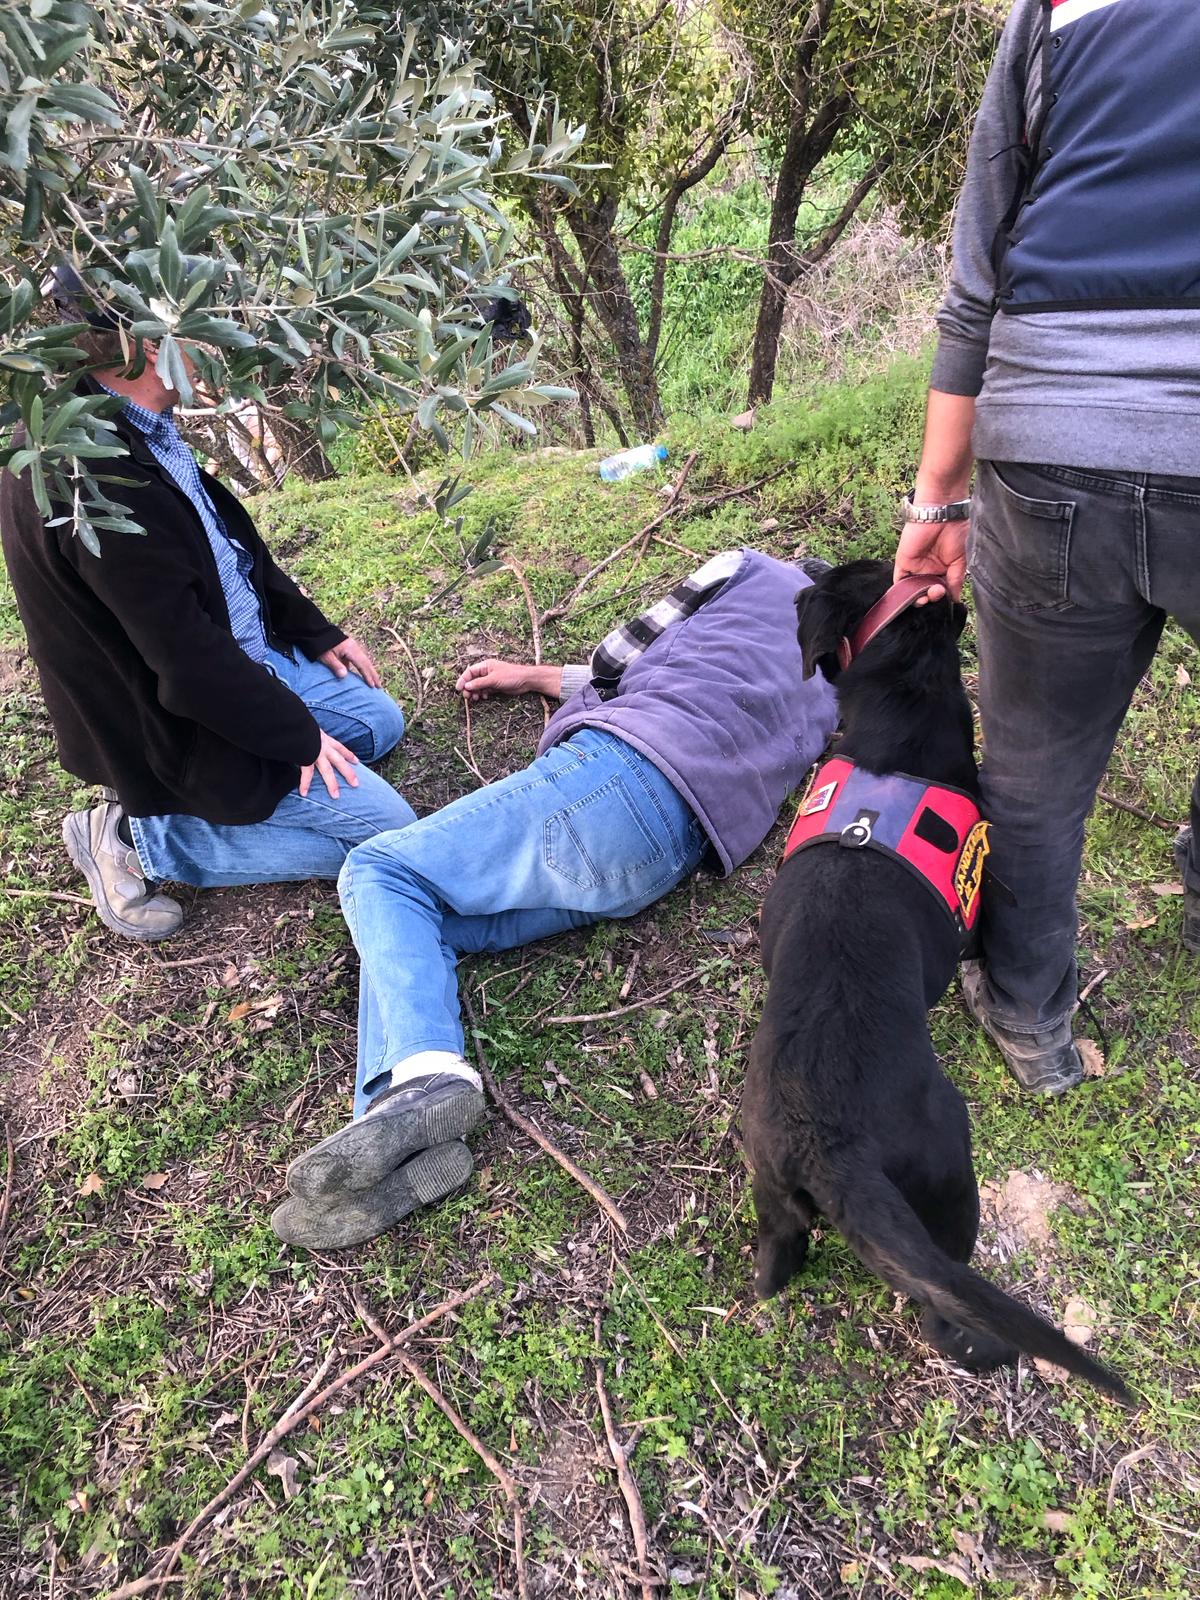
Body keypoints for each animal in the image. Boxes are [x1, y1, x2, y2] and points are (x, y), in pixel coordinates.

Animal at [748, 560, 1132, 1401]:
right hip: (950, 1172)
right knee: (943, 1314)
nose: (806, 569)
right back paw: (998, 1349)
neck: (896, 736)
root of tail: (828, 1146)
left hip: (773, 1193)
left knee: (772, 1267)